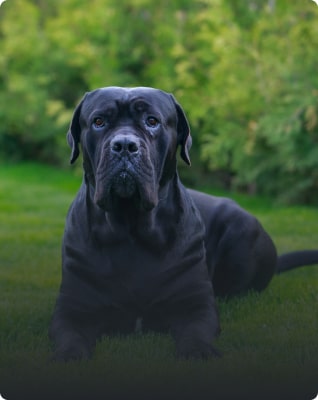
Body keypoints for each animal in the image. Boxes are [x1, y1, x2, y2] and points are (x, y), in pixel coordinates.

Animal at [49, 86, 318, 360]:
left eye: (152, 121)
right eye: (99, 121)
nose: (124, 145)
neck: (131, 228)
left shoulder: (195, 305)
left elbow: (196, 331)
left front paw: (199, 352)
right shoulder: (74, 308)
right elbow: (70, 336)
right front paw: (69, 355)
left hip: (243, 230)